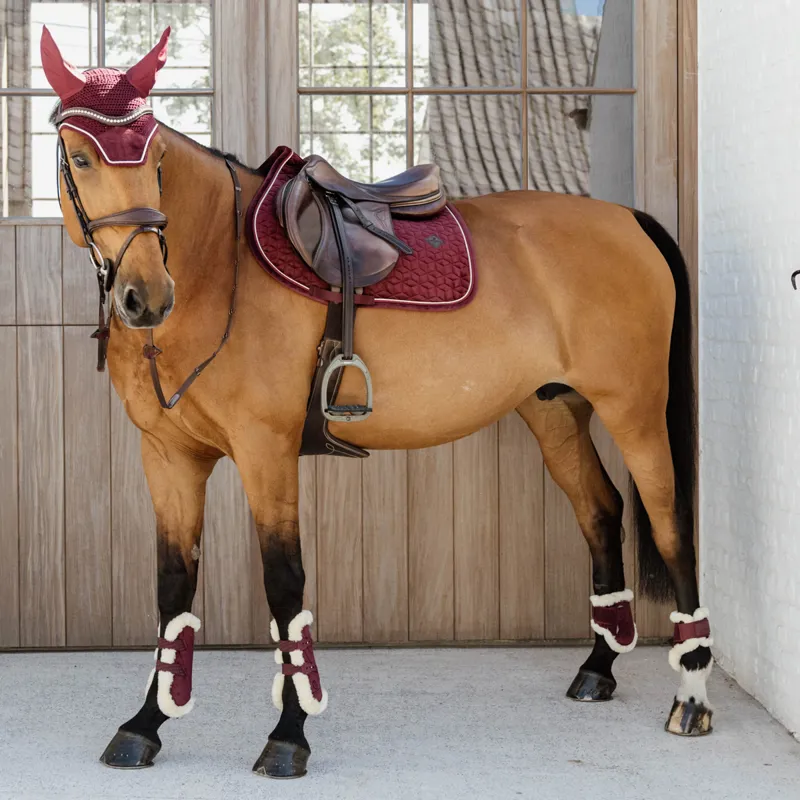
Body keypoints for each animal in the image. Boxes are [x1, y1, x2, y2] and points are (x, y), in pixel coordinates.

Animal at [41, 26, 713, 779]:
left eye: (154, 158)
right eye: (79, 157)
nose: (146, 295)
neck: (218, 264)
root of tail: (628, 218)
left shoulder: (266, 450)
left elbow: (284, 584)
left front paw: (290, 733)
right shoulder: (168, 456)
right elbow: (172, 588)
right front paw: (146, 724)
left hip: (636, 411)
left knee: (671, 525)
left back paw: (691, 698)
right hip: (555, 410)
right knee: (600, 511)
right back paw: (598, 668)